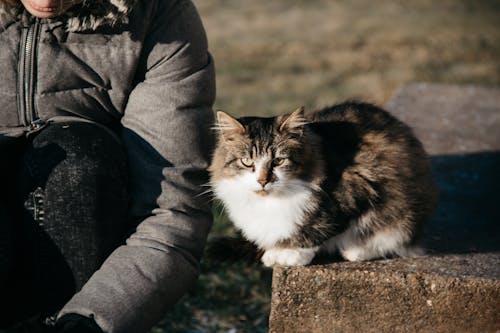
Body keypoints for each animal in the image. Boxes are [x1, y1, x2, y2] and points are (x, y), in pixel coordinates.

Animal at [209, 102, 436, 268]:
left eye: (278, 161)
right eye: (247, 162)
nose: (263, 180)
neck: (269, 201)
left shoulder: (354, 190)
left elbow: (317, 228)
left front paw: (290, 254)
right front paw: (276, 251)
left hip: (402, 216)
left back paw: (357, 250)